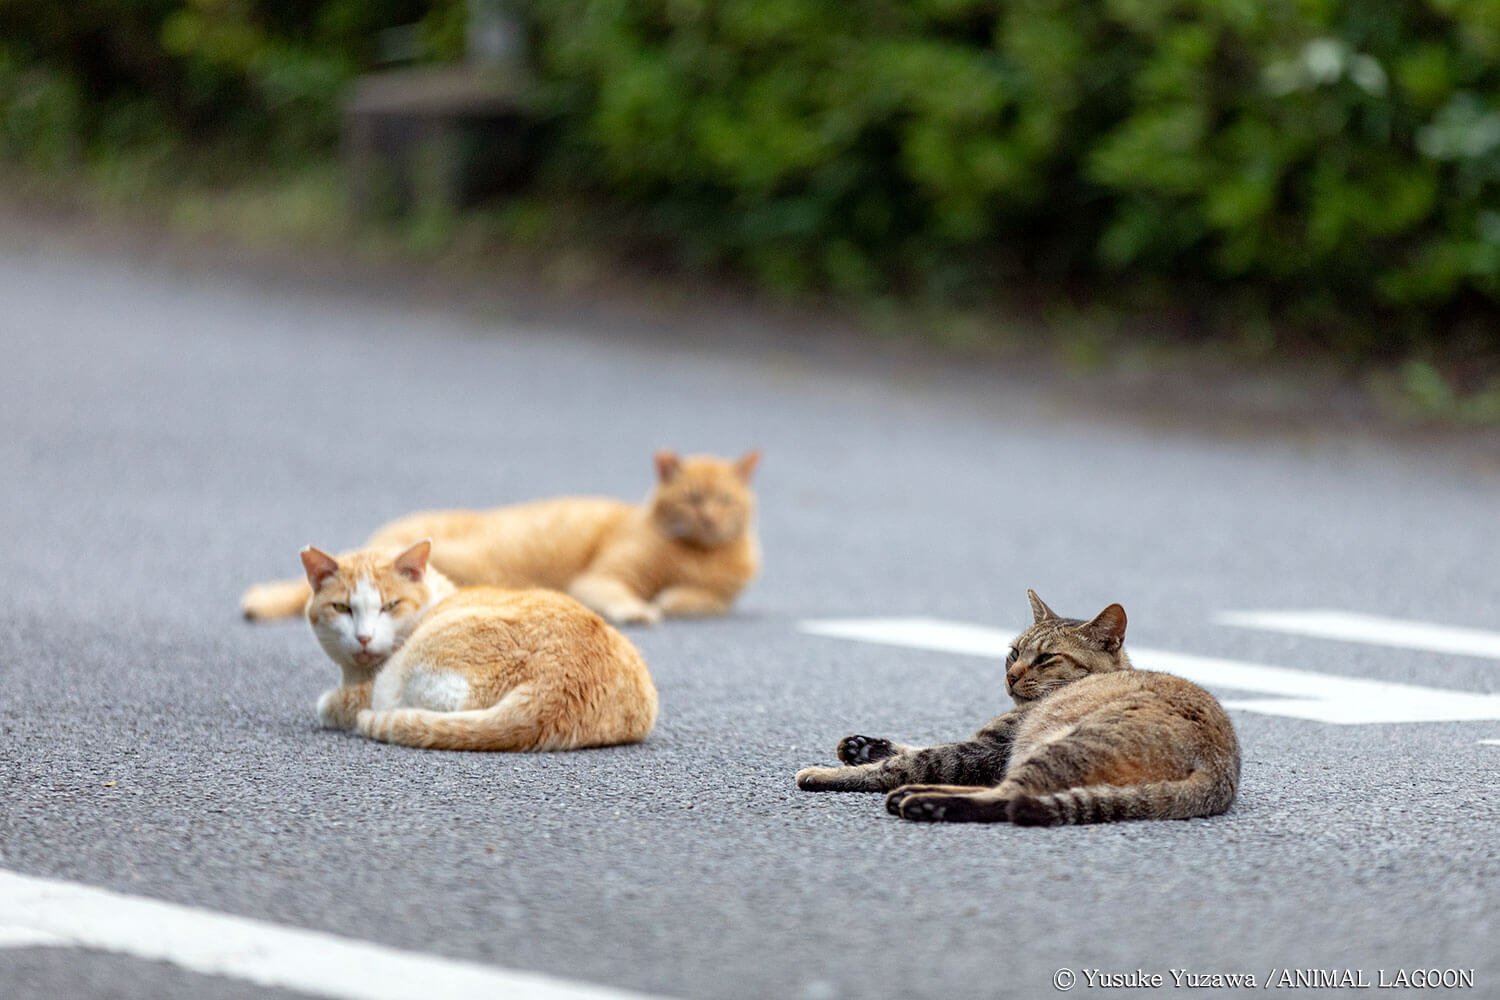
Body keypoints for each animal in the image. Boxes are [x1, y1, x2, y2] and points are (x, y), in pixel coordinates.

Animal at [249, 452, 762, 626]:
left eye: (726, 501)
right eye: (693, 499)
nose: (711, 518)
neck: (699, 554)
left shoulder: (721, 595)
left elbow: (701, 600)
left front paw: (675, 599)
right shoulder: (601, 578)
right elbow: (624, 594)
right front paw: (643, 609)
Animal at [300, 539, 657, 749]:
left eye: (390, 606)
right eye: (341, 608)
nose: (364, 637)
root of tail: (560, 686)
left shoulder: (371, 688)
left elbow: (328, 703)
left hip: (412, 676)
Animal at [798, 590, 1242, 827]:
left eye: (1045, 658)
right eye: (1013, 652)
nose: (1010, 675)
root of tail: (1220, 773)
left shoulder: (984, 750)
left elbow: (910, 761)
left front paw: (828, 773)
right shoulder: (986, 749)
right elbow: (914, 748)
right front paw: (863, 746)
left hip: (1065, 744)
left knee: (1011, 796)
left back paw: (922, 800)